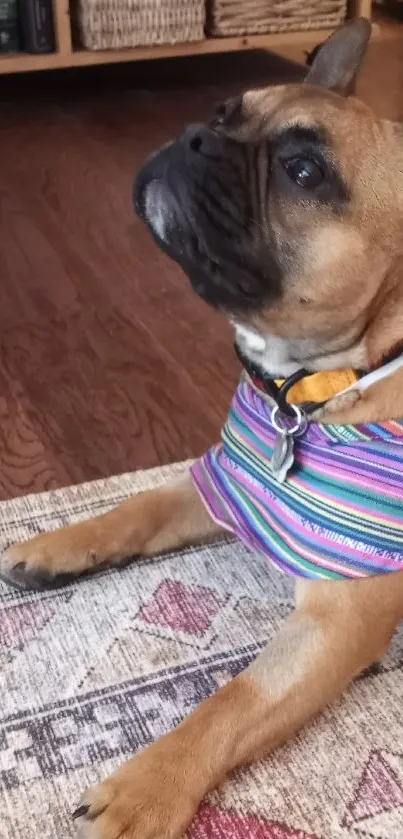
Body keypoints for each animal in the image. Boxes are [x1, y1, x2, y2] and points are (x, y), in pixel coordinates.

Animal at [2, 18, 403, 839]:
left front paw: (144, 788)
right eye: (224, 112)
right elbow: (137, 505)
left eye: (303, 170)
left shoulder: (340, 618)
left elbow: (232, 700)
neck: (311, 389)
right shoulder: (227, 478)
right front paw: (53, 546)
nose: (194, 136)